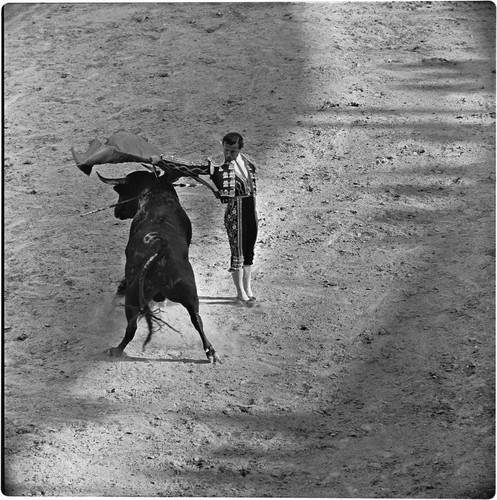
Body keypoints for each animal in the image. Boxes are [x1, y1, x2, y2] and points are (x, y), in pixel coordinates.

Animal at [72, 133, 220, 364]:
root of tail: (161, 253)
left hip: (134, 298)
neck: (157, 195)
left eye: (121, 192)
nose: (116, 212)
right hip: (190, 293)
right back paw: (210, 351)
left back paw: (116, 349)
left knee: (131, 327)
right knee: (197, 319)